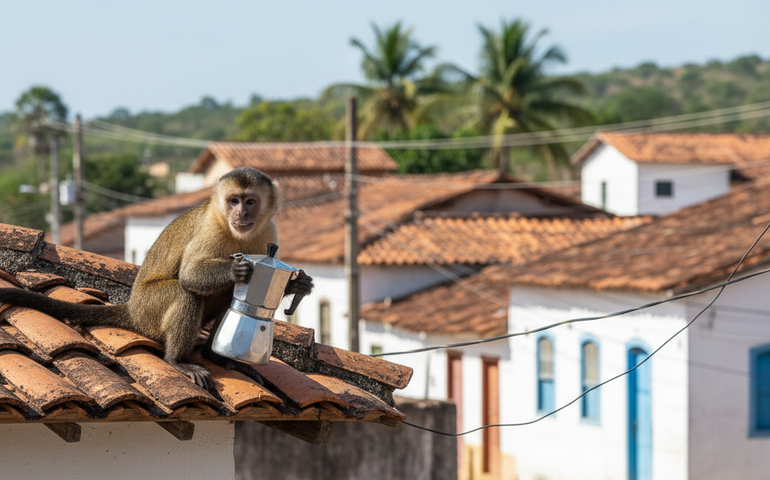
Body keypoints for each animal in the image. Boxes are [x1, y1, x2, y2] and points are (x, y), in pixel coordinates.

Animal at [0, 166, 313, 391]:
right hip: (148, 309)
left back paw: (215, 356)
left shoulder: (270, 231)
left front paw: (298, 283)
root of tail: (132, 308)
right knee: (187, 292)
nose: (241, 213)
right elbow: (190, 275)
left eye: (250, 201)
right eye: (233, 201)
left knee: (227, 295)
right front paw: (238, 271)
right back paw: (177, 361)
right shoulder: (212, 226)